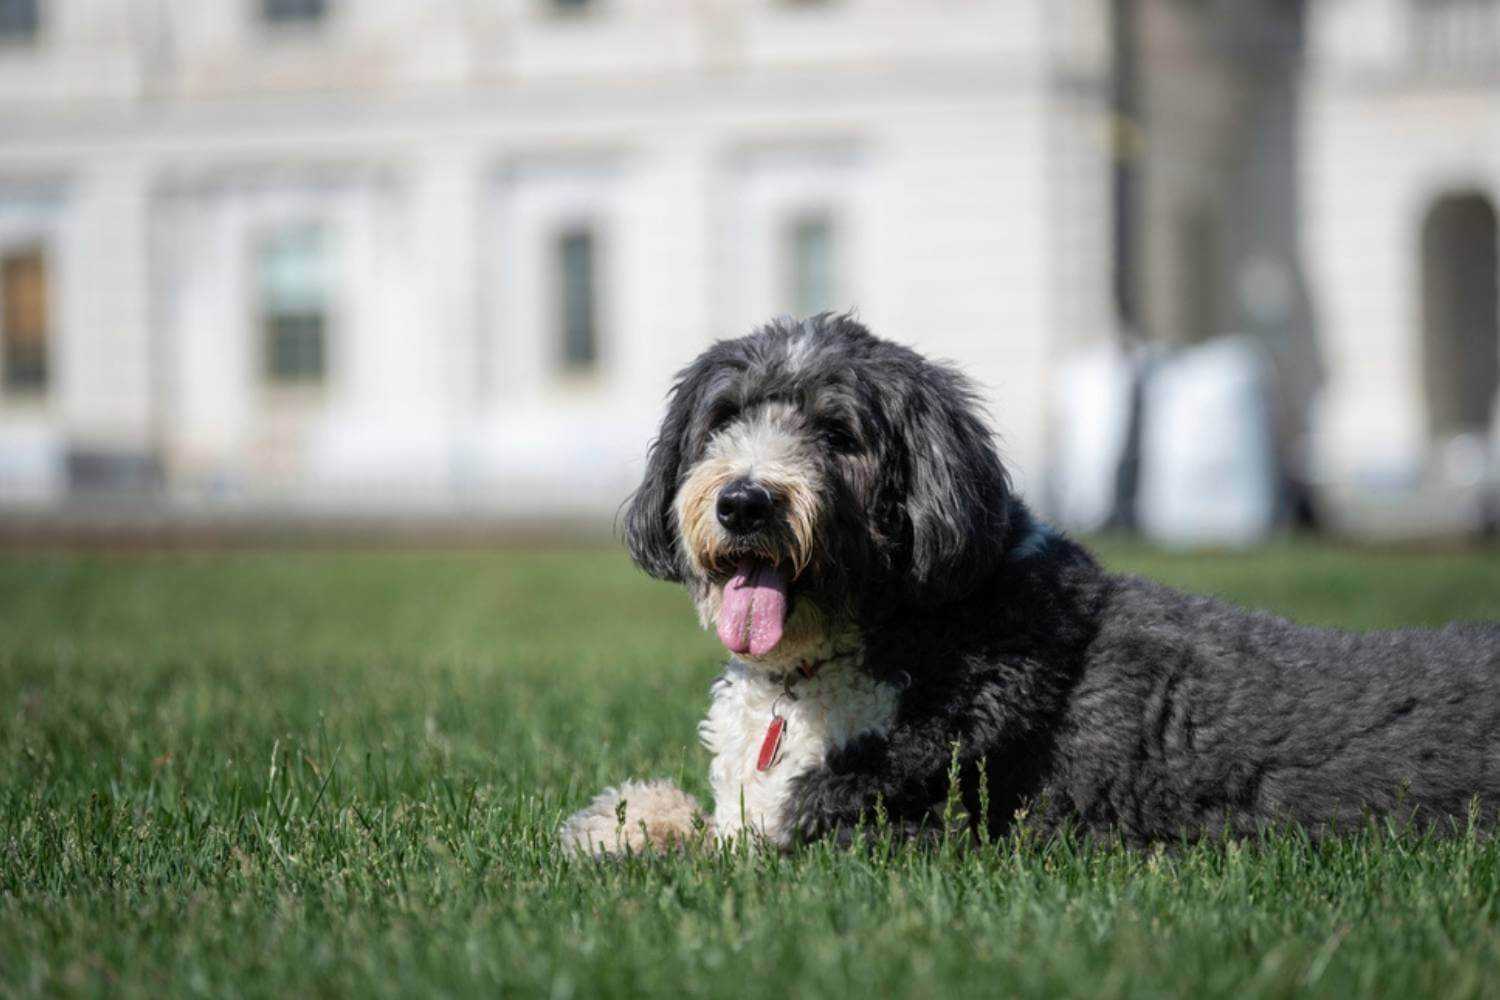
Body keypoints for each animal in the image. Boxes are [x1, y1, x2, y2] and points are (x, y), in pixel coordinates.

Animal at [561, 316, 1500, 857]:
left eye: (838, 432)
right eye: (723, 418)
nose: (746, 500)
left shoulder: (883, 830)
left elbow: (730, 854)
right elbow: (683, 818)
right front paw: (622, 820)